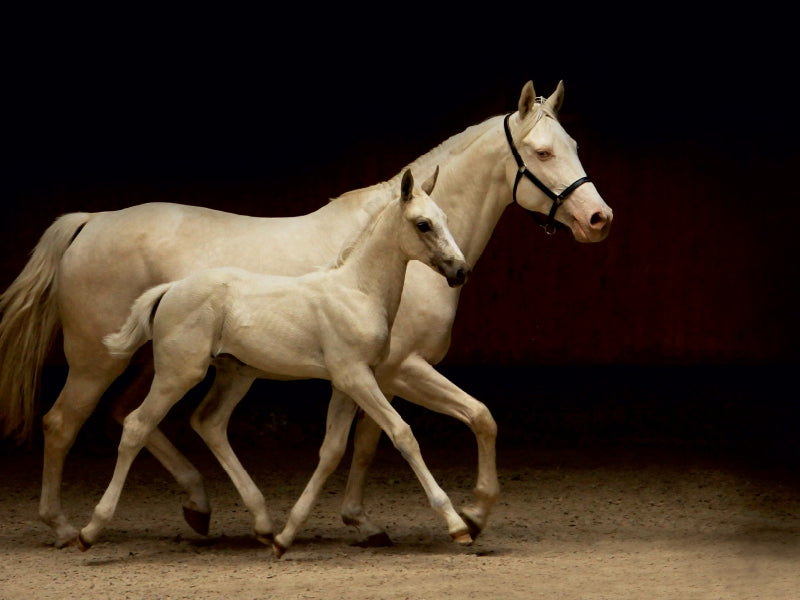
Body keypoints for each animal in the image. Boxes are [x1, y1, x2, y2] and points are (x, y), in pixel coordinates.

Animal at [76, 168, 472, 555]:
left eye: (445, 217)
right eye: (423, 224)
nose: (460, 271)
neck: (356, 291)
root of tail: (171, 289)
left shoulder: (347, 384)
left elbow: (332, 451)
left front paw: (286, 537)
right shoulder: (356, 377)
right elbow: (402, 433)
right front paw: (457, 525)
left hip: (234, 374)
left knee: (209, 423)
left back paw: (263, 525)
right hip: (177, 374)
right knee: (136, 426)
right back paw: (89, 530)